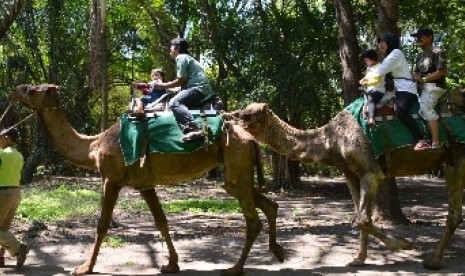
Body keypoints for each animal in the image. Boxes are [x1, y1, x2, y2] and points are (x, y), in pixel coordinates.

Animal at [9, 84, 284, 276]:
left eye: (33, 89)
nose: (15, 90)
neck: (94, 146)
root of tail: (250, 137)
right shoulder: (145, 184)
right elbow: (161, 221)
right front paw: (171, 264)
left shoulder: (111, 179)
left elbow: (102, 224)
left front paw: (84, 267)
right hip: (237, 169)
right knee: (267, 204)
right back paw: (277, 251)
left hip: (236, 157)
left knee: (252, 218)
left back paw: (235, 268)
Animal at [225, 88, 464, 270]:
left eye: (247, 114)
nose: (228, 118)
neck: (333, 140)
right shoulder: (351, 173)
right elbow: (361, 216)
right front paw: (358, 259)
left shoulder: (371, 171)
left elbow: (363, 219)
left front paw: (405, 244)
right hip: (451, 158)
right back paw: (434, 258)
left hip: (458, 154)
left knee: (454, 211)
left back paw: (433, 260)